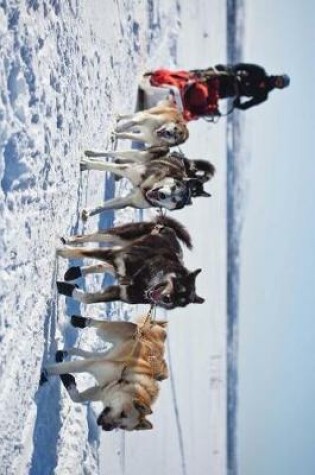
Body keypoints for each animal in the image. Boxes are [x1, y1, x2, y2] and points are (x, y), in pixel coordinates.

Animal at [81, 147, 212, 221]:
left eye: (175, 200)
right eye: (175, 186)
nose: (162, 195)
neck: (147, 187)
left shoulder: (127, 200)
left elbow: (103, 207)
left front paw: (89, 212)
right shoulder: (129, 170)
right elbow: (104, 165)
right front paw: (87, 164)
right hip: (141, 156)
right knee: (114, 153)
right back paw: (93, 154)